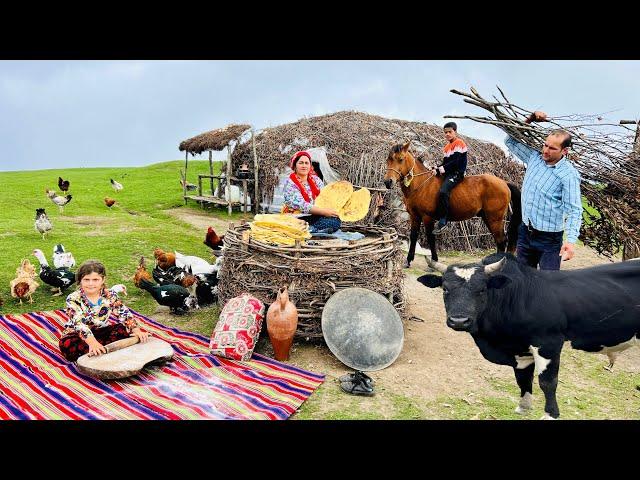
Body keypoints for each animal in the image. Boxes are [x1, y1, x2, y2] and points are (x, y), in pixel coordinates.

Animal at [382, 141, 524, 266]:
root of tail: (504, 183)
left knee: (501, 241)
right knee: (499, 241)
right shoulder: (415, 216)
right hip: (488, 218)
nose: (388, 182)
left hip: (495, 219)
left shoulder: (428, 218)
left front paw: (434, 260)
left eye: (400, 159)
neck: (422, 184)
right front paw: (408, 260)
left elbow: (430, 238)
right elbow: (413, 236)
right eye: (388, 160)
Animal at [418, 253, 636, 418]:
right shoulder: (521, 349)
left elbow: (547, 382)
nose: (459, 321)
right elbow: (522, 378)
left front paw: (550, 414)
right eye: (445, 289)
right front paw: (523, 407)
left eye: (482, 289)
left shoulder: (549, 343)